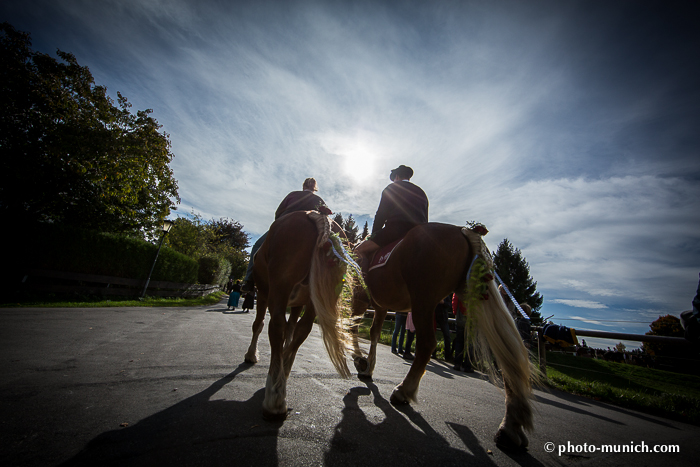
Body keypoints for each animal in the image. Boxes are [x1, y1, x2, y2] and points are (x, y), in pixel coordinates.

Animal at [242, 211, 350, 420]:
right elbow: (292, 329)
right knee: (302, 329)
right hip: (315, 298)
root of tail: (317, 215)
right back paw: (282, 376)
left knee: (276, 326)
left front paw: (251, 355)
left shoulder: (264, 295)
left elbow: (258, 324)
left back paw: (274, 397)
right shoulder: (298, 303)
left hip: (279, 288)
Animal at [348, 225, 536, 452]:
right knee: (508, 355)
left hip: (424, 301)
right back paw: (510, 427)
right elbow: (374, 332)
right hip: (471, 298)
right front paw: (368, 366)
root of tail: (464, 231)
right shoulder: (381, 306)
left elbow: (352, 327)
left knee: (427, 344)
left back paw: (404, 390)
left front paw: (361, 361)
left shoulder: (360, 299)